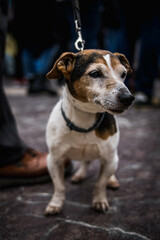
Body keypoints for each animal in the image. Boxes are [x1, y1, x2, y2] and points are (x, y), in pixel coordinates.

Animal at [44, 49, 134, 216]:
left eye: (123, 74)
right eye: (95, 73)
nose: (128, 98)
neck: (84, 118)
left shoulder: (109, 159)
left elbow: (100, 183)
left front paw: (99, 200)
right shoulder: (54, 160)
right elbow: (59, 186)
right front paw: (56, 204)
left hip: (113, 158)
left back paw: (112, 180)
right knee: (86, 161)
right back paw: (80, 175)